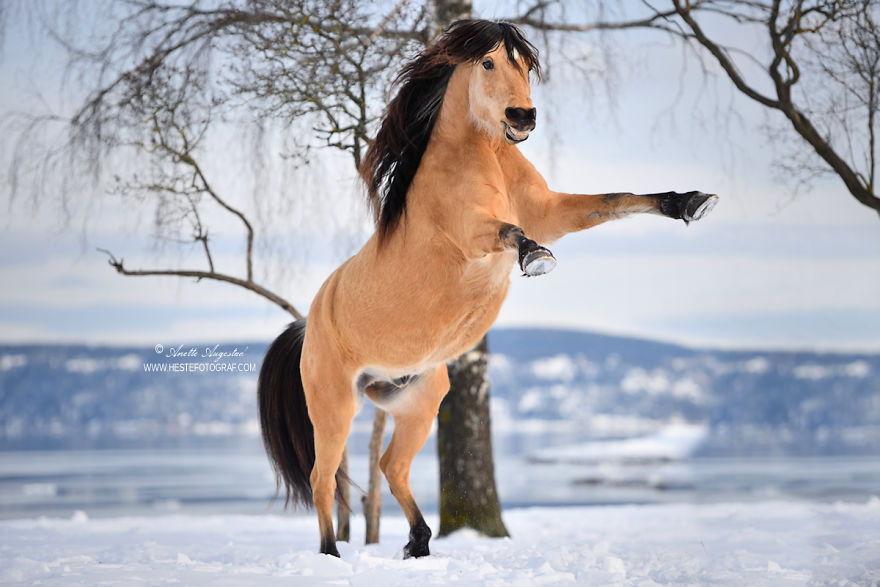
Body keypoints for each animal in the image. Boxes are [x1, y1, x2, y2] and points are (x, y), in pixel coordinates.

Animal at [258, 19, 717, 559]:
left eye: (526, 65)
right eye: (488, 62)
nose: (522, 117)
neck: (482, 158)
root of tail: (307, 323)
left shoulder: (552, 211)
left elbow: (615, 198)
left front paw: (690, 202)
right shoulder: (472, 234)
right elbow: (511, 232)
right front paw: (536, 258)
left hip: (417, 400)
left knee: (391, 466)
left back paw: (418, 543)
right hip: (334, 406)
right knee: (323, 478)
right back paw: (333, 554)